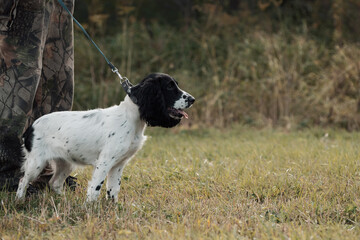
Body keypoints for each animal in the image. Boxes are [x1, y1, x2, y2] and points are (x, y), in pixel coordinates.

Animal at [15, 73, 195, 202]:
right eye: (169, 87)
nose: (193, 99)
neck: (131, 118)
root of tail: (30, 127)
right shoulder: (105, 161)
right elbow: (95, 189)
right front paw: (89, 209)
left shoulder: (119, 164)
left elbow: (113, 189)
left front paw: (112, 208)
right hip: (36, 163)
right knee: (23, 181)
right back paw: (19, 201)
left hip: (65, 162)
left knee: (55, 183)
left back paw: (63, 201)